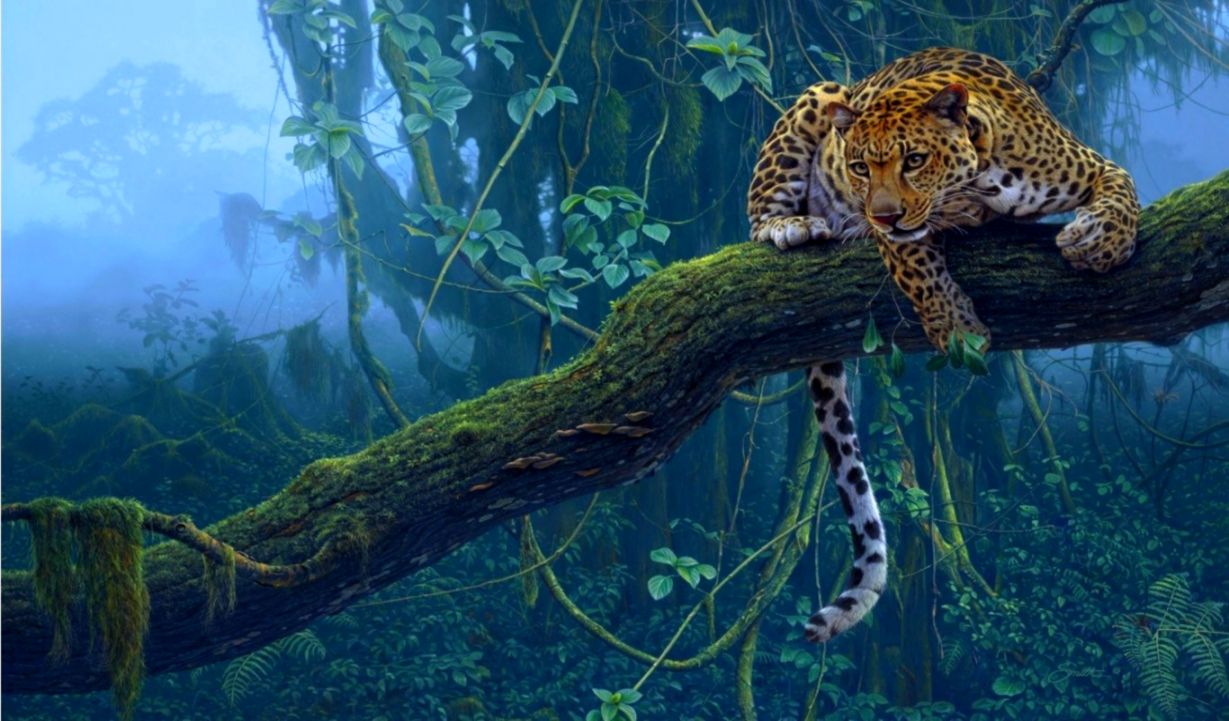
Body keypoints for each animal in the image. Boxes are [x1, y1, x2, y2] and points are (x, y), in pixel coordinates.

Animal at [746, 47, 1139, 643]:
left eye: (913, 159)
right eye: (859, 167)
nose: (881, 213)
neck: (983, 179)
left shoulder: (1091, 164)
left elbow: (1123, 189)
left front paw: (1101, 243)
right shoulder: (895, 236)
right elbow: (917, 265)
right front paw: (957, 328)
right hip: (819, 94)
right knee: (756, 220)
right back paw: (792, 225)